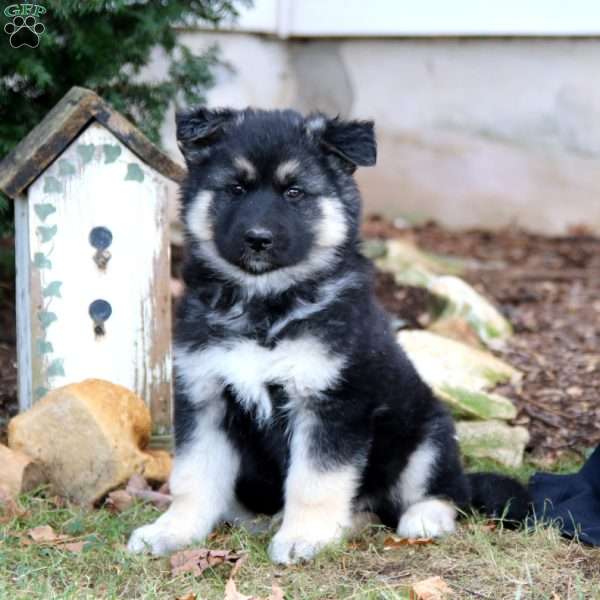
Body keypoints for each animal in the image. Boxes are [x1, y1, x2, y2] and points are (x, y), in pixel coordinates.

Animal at [127, 106, 528, 564]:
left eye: (295, 192)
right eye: (236, 187)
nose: (258, 239)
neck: (266, 305)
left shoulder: (332, 404)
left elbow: (315, 481)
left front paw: (304, 537)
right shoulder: (205, 396)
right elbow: (193, 477)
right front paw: (171, 530)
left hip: (427, 434)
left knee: (446, 491)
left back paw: (421, 518)